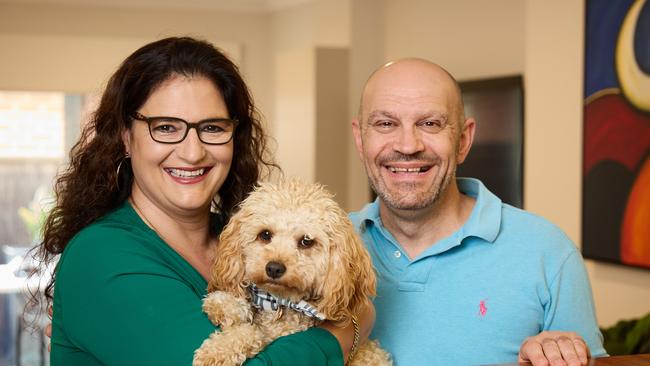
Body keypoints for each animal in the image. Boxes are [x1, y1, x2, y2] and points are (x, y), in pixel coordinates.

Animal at [192, 179, 390, 364]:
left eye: (306, 241)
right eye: (265, 234)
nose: (274, 268)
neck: (278, 302)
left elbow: (255, 334)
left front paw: (216, 351)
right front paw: (223, 304)